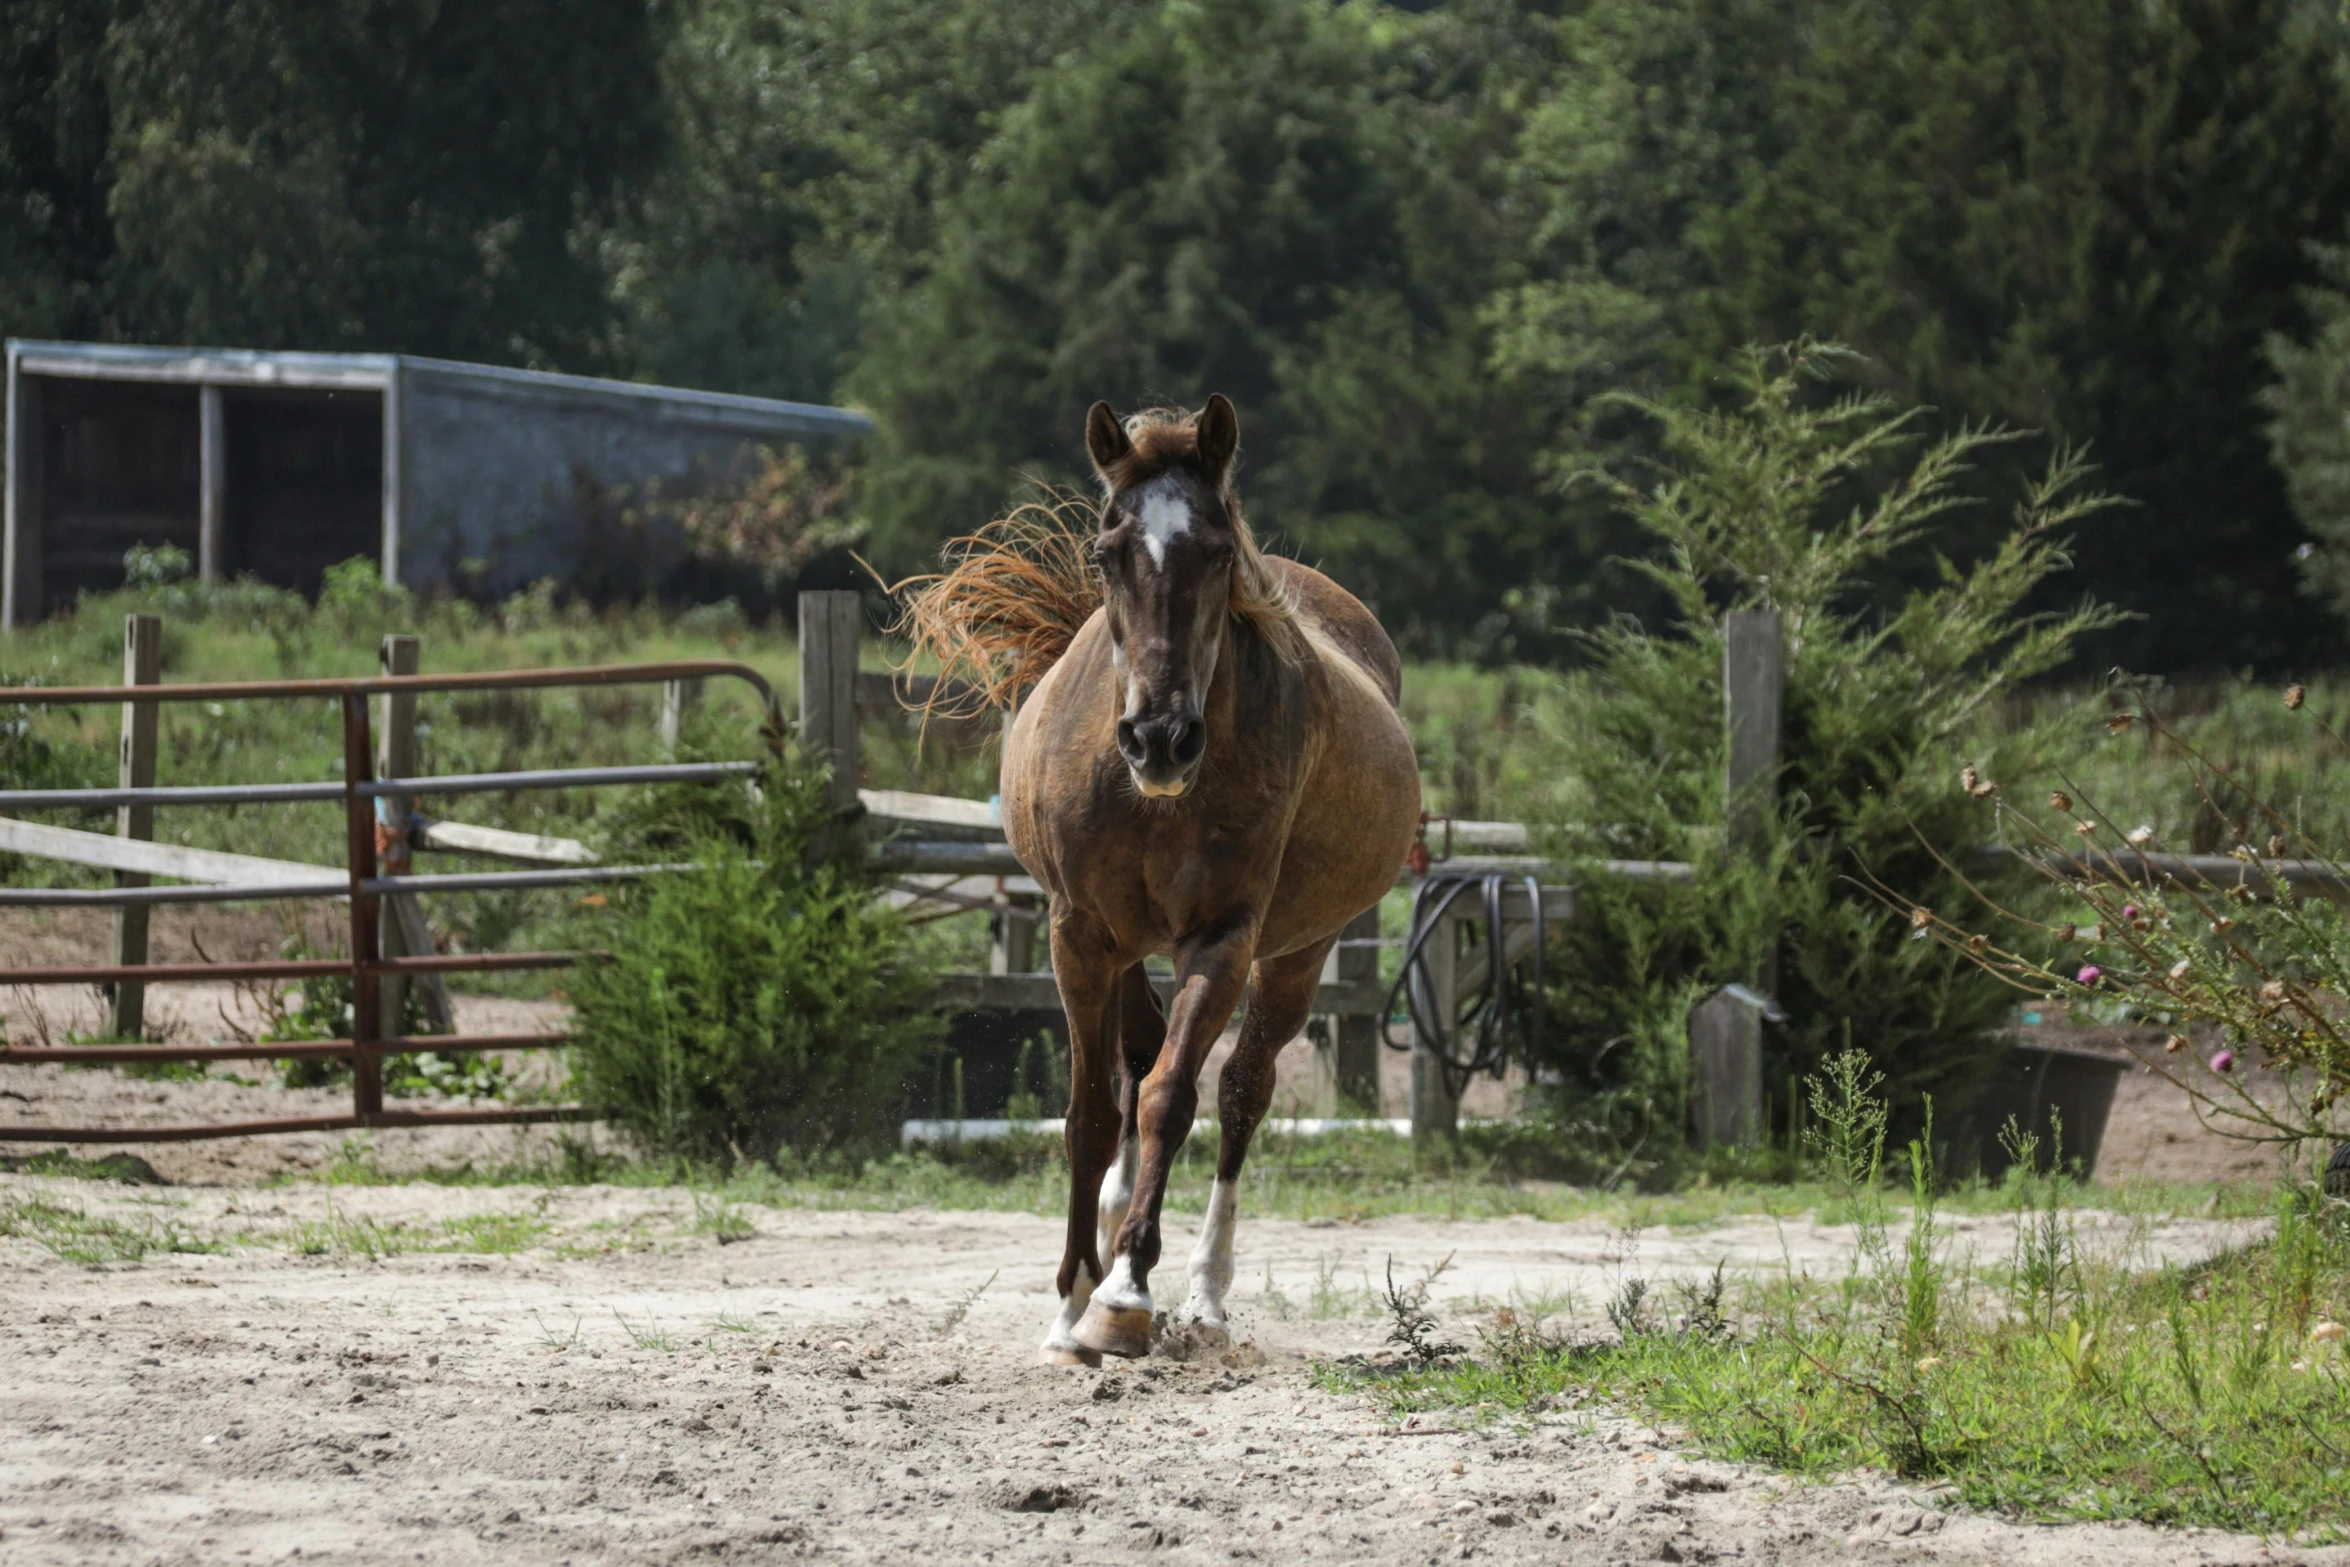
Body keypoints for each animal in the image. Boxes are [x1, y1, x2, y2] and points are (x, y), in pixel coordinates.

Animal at [982, 392, 1419, 1362]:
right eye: (1106, 553)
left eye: (1219, 553)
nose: (1159, 740)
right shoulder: (1078, 933)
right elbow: (1090, 1112)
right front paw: (1072, 1298)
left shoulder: (1222, 938)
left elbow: (1174, 1097)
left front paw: (1126, 1293)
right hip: (1122, 944)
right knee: (1137, 1050)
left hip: (1298, 955)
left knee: (1239, 1091)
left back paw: (1207, 1290)